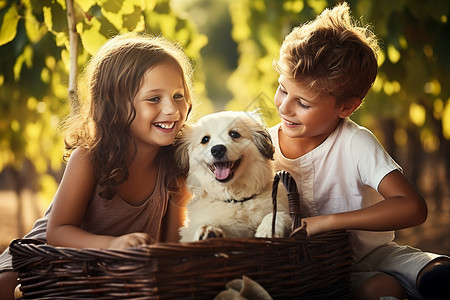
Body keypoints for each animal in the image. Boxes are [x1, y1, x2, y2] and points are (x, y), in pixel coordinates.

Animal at [176, 111, 292, 243]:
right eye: (205, 139)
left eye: (234, 134)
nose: (217, 149)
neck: (236, 200)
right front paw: (208, 231)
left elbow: (276, 215)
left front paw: (268, 230)